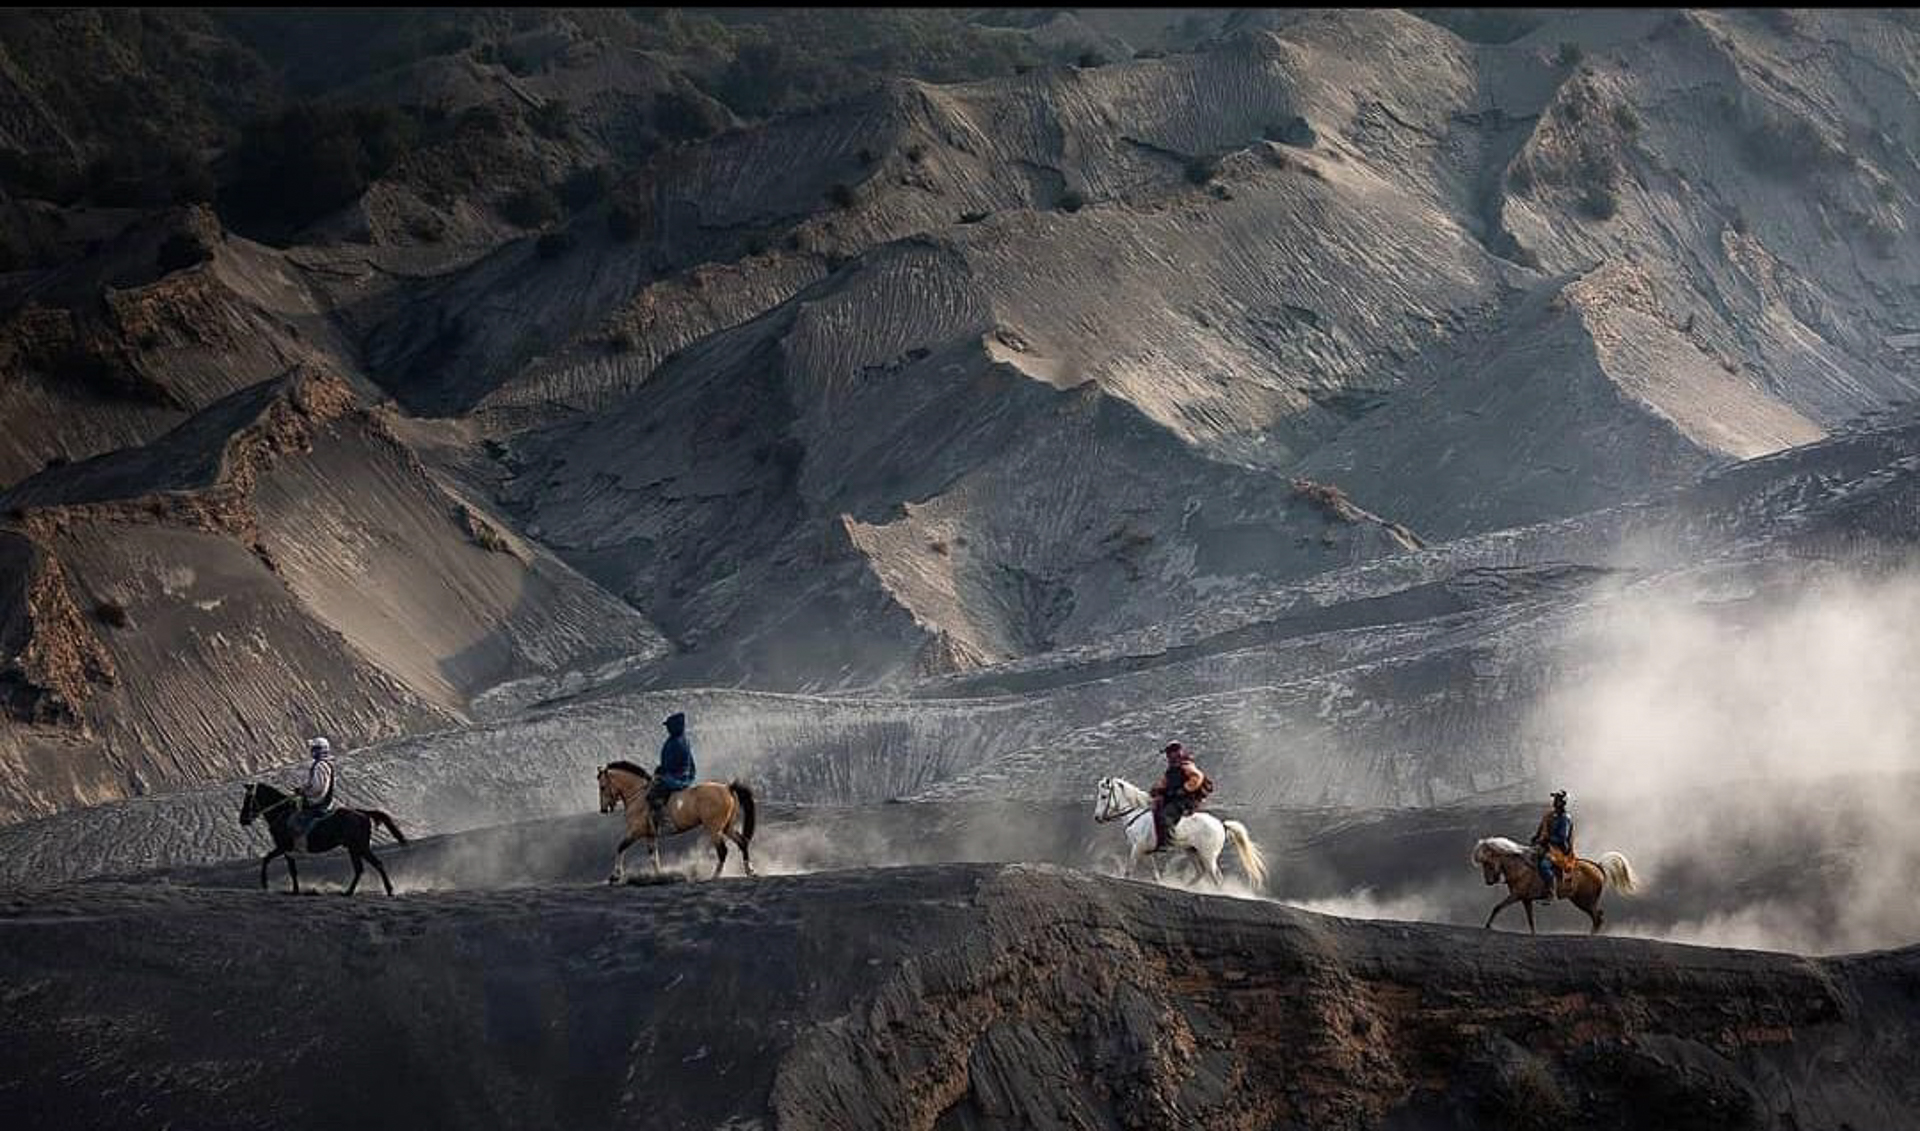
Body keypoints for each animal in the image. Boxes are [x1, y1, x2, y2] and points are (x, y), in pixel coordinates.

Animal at [238, 779, 407, 894]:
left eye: (248, 799)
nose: (242, 820)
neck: (282, 813)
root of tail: (362, 813)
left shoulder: (283, 847)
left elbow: (266, 859)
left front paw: (265, 884)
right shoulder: (288, 851)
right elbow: (292, 870)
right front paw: (295, 890)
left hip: (360, 847)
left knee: (375, 864)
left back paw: (386, 890)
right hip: (354, 848)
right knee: (361, 868)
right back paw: (351, 892)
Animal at [599, 760, 756, 883]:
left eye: (602, 787)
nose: (603, 809)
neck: (639, 796)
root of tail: (727, 787)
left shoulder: (635, 832)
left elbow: (621, 847)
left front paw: (614, 876)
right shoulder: (650, 836)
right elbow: (654, 858)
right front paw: (659, 877)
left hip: (714, 829)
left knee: (723, 851)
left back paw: (715, 876)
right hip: (727, 827)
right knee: (742, 842)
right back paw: (750, 871)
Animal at [1090, 775, 1267, 890]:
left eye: (1104, 796)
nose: (1097, 818)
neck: (1136, 814)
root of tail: (1221, 824)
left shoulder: (1137, 848)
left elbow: (1128, 871)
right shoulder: (1145, 851)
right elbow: (1155, 875)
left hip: (1208, 856)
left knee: (1216, 878)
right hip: (1191, 851)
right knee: (1200, 873)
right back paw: (1185, 886)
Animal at [1466, 833, 1635, 929]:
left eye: (1488, 863)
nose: (1489, 881)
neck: (1520, 868)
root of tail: (1598, 867)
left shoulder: (1516, 896)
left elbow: (1497, 907)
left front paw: (1488, 926)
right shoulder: (1525, 899)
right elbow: (1531, 921)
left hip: (1585, 901)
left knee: (1597, 918)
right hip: (1581, 901)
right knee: (1597, 917)